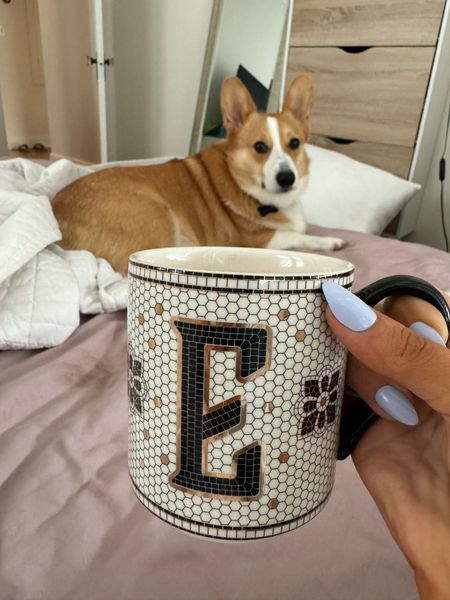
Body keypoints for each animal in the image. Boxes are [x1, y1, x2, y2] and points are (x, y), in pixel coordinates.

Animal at [52, 74, 344, 276]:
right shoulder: (257, 242)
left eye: (294, 143)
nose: (287, 178)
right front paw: (330, 241)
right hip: (158, 216)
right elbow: (299, 237)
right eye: (260, 147)